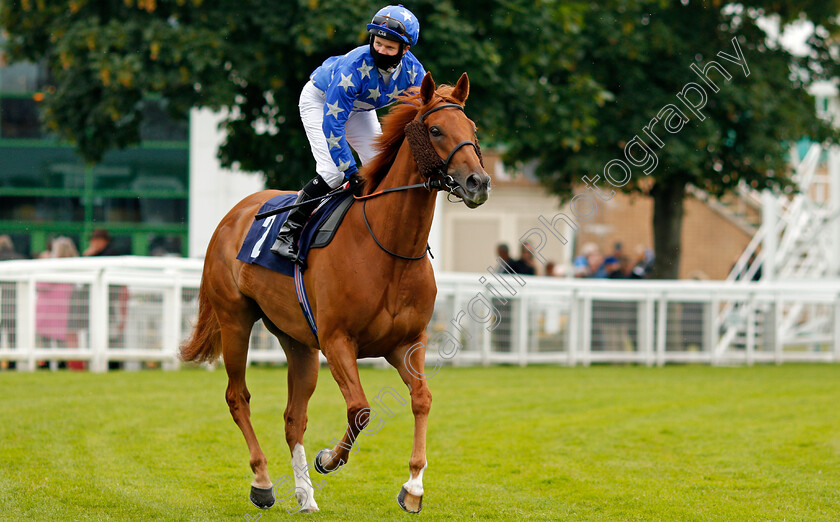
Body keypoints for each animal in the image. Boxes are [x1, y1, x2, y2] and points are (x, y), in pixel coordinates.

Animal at [180, 73, 488, 512]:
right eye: (435, 130)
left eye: (473, 129)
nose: (478, 182)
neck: (388, 248)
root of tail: (233, 214)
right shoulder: (337, 340)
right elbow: (360, 410)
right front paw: (328, 459)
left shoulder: (407, 342)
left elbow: (422, 398)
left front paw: (413, 486)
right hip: (235, 320)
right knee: (237, 397)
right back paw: (263, 482)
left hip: (297, 342)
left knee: (293, 417)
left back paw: (305, 495)